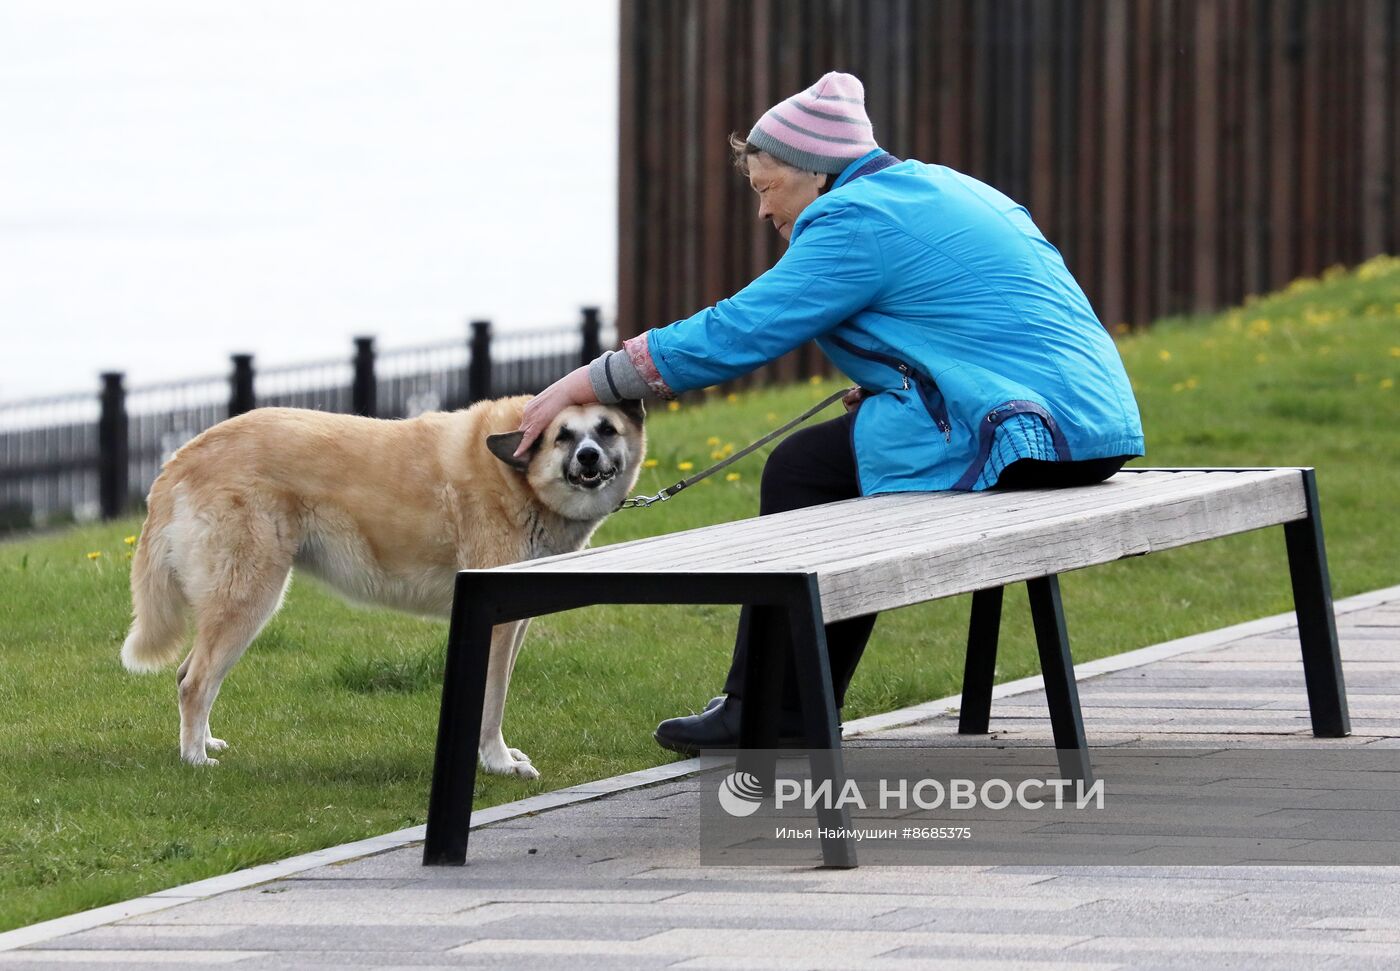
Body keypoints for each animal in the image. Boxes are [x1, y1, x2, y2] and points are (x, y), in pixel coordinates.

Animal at [120, 391, 644, 777]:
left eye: (606, 429)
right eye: (562, 437)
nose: (588, 457)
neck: (518, 480)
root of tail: (181, 458)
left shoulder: (515, 617)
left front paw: (497, 756)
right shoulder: (496, 623)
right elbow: (492, 699)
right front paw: (497, 763)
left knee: (190, 674)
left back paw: (204, 741)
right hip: (249, 594)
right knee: (196, 681)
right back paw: (194, 759)